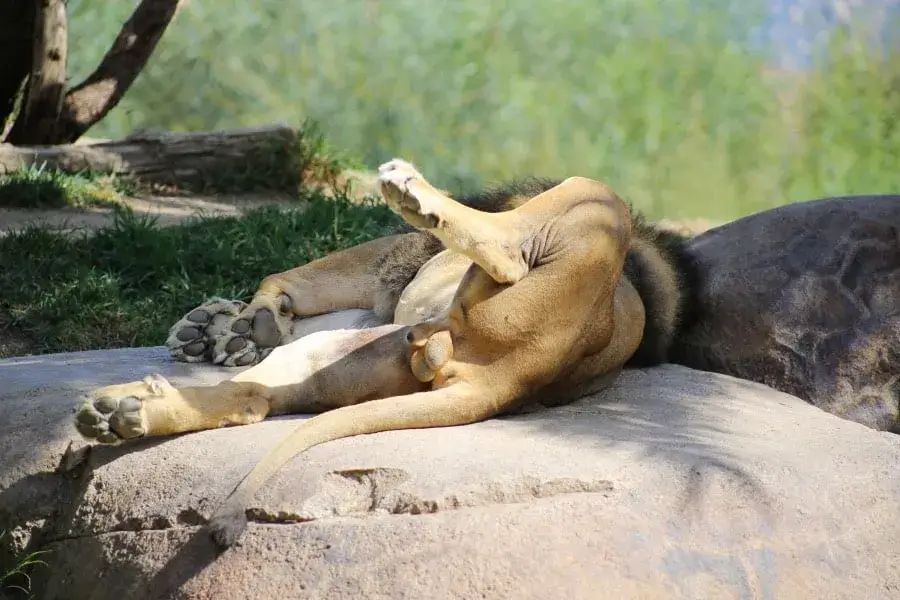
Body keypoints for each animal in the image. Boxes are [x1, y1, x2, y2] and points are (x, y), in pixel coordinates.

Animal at [72, 158, 696, 548]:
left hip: (584, 210)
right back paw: (120, 413)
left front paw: (237, 325)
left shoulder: (378, 268)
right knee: (250, 398)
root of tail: (508, 381)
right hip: (344, 357)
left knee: (504, 249)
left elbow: (288, 278)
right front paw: (227, 328)